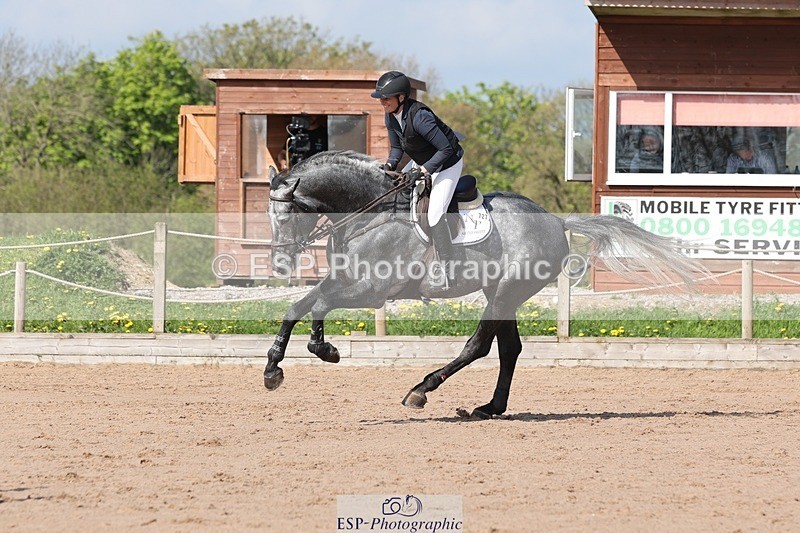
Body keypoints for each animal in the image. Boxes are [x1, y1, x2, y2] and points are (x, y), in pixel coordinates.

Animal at [264, 151, 702, 418]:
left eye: (287, 217)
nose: (280, 264)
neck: (368, 212)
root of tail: (555, 220)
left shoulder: (371, 291)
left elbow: (318, 303)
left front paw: (316, 352)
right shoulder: (345, 279)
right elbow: (300, 306)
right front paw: (281, 364)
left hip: (506, 292)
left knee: (479, 346)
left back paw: (421, 390)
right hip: (501, 294)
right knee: (509, 349)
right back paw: (490, 407)